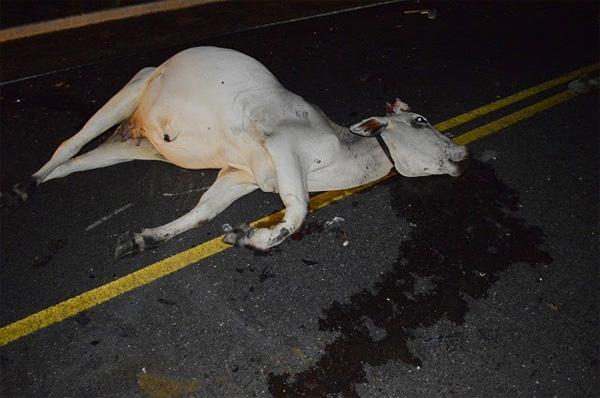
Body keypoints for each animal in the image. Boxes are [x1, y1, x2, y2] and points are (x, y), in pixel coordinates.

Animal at [4, 46, 468, 256]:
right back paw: (22, 188)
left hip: (129, 148)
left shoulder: (239, 176)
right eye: (422, 121)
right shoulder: (281, 147)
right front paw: (251, 235)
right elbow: (297, 214)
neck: (340, 155)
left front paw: (144, 238)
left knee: (72, 165)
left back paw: (31, 184)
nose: (462, 155)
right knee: (69, 142)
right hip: (132, 89)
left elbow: (204, 212)